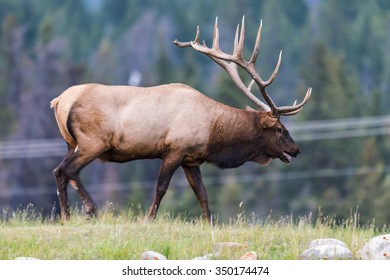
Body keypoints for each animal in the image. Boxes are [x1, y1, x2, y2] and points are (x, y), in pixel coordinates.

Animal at [50, 17, 310, 223]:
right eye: (279, 129)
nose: (296, 149)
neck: (213, 132)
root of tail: (59, 101)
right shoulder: (176, 148)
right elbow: (161, 188)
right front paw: (149, 219)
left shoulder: (191, 159)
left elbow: (202, 193)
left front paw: (210, 223)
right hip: (93, 141)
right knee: (69, 170)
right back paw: (90, 209)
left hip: (71, 143)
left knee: (58, 171)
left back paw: (65, 217)